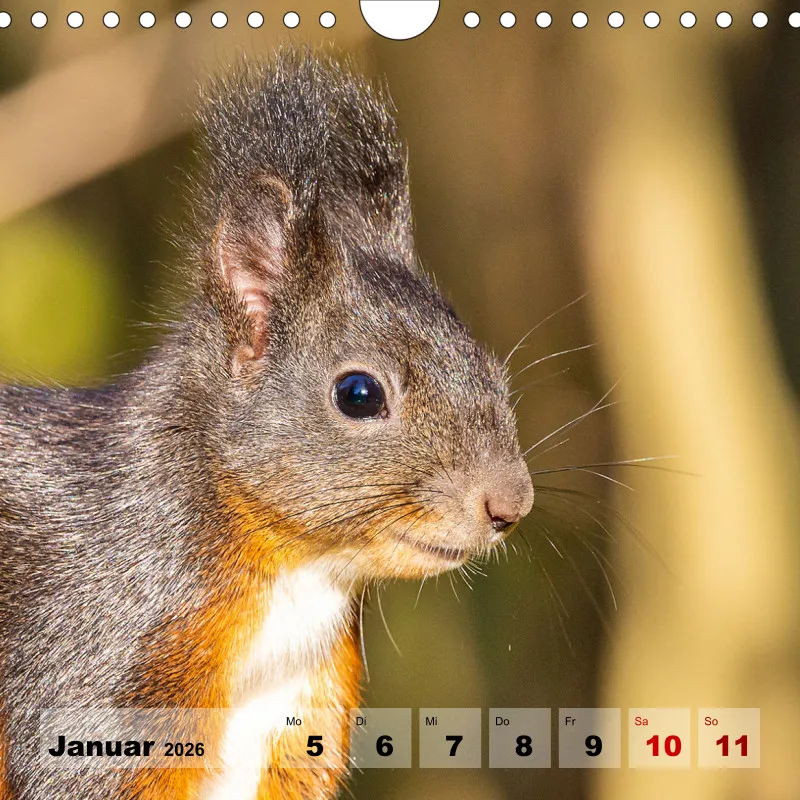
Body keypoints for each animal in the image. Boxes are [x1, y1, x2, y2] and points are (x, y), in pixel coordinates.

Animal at [0, 50, 534, 800]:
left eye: (487, 366)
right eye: (358, 393)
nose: (510, 503)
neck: (299, 578)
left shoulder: (300, 728)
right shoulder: (88, 673)